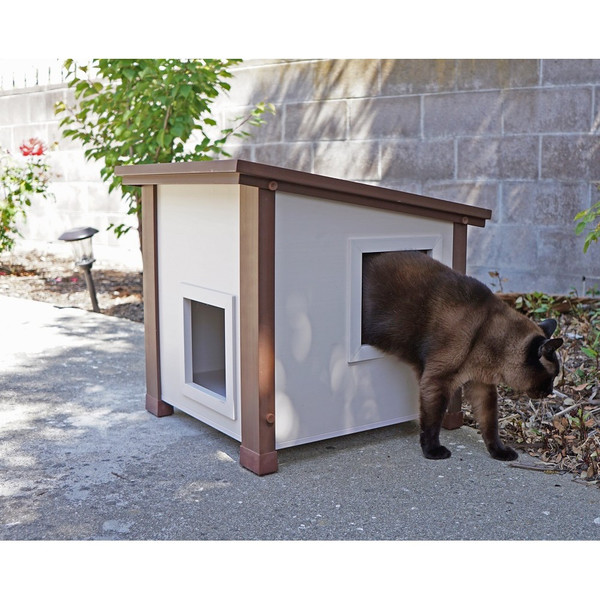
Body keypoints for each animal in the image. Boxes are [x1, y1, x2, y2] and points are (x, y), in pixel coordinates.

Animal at [360, 251, 564, 462]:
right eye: (552, 376)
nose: (550, 392)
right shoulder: (437, 381)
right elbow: (433, 422)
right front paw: (433, 451)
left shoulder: (482, 387)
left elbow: (490, 424)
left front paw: (499, 452)